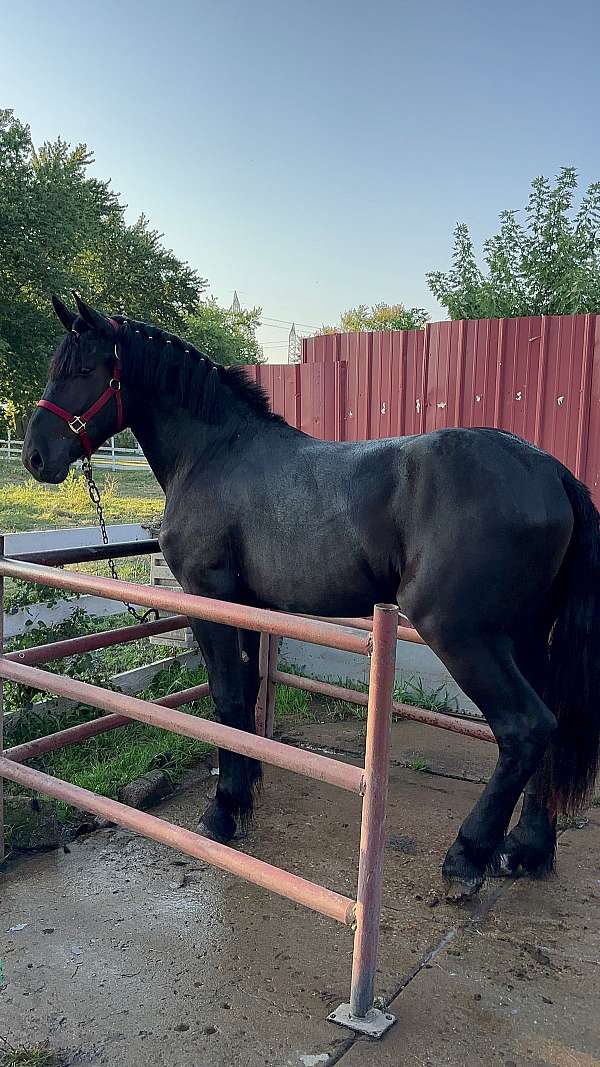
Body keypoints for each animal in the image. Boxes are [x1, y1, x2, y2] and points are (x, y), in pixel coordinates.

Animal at [21, 294, 593, 900]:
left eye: (83, 370)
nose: (35, 455)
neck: (214, 453)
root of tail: (552, 472)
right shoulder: (249, 607)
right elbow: (246, 694)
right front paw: (245, 789)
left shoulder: (211, 599)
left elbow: (226, 697)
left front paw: (223, 812)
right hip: (526, 635)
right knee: (551, 723)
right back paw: (526, 849)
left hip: (462, 636)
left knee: (525, 727)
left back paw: (468, 856)